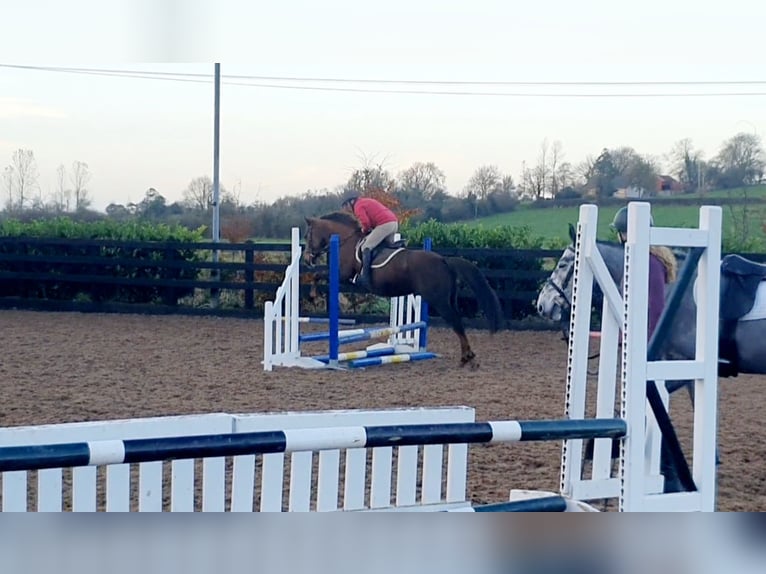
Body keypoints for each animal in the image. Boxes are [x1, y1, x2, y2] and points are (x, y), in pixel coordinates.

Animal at [304, 213, 508, 368]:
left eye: (308, 235)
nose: (307, 259)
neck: (345, 241)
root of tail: (444, 260)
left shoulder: (343, 275)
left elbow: (318, 275)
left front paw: (314, 296)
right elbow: (321, 277)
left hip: (439, 301)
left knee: (456, 322)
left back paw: (467, 358)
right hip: (449, 299)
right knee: (458, 321)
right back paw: (468, 357)